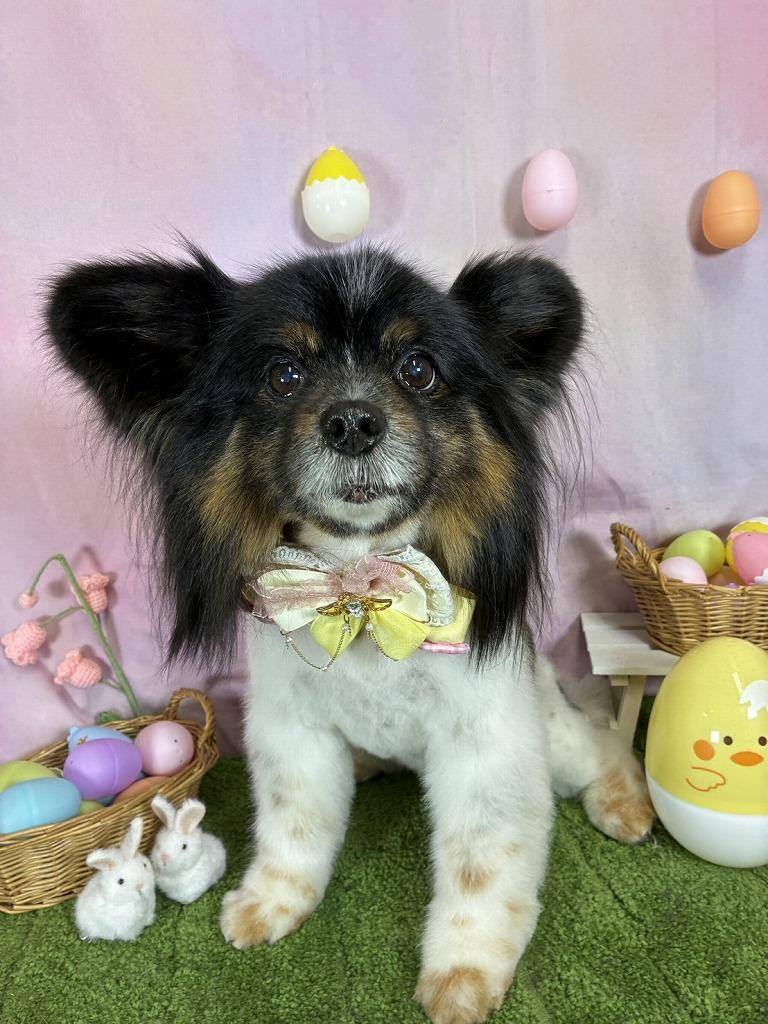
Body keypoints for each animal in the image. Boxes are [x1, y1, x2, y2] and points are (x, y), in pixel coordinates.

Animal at [46, 244, 654, 1024]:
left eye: (418, 369)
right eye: (283, 374)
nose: (353, 422)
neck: (362, 589)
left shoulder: (488, 746)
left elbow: (480, 864)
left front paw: (464, 970)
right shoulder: (292, 730)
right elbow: (295, 824)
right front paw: (273, 901)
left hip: (552, 730)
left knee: (605, 745)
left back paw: (624, 804)